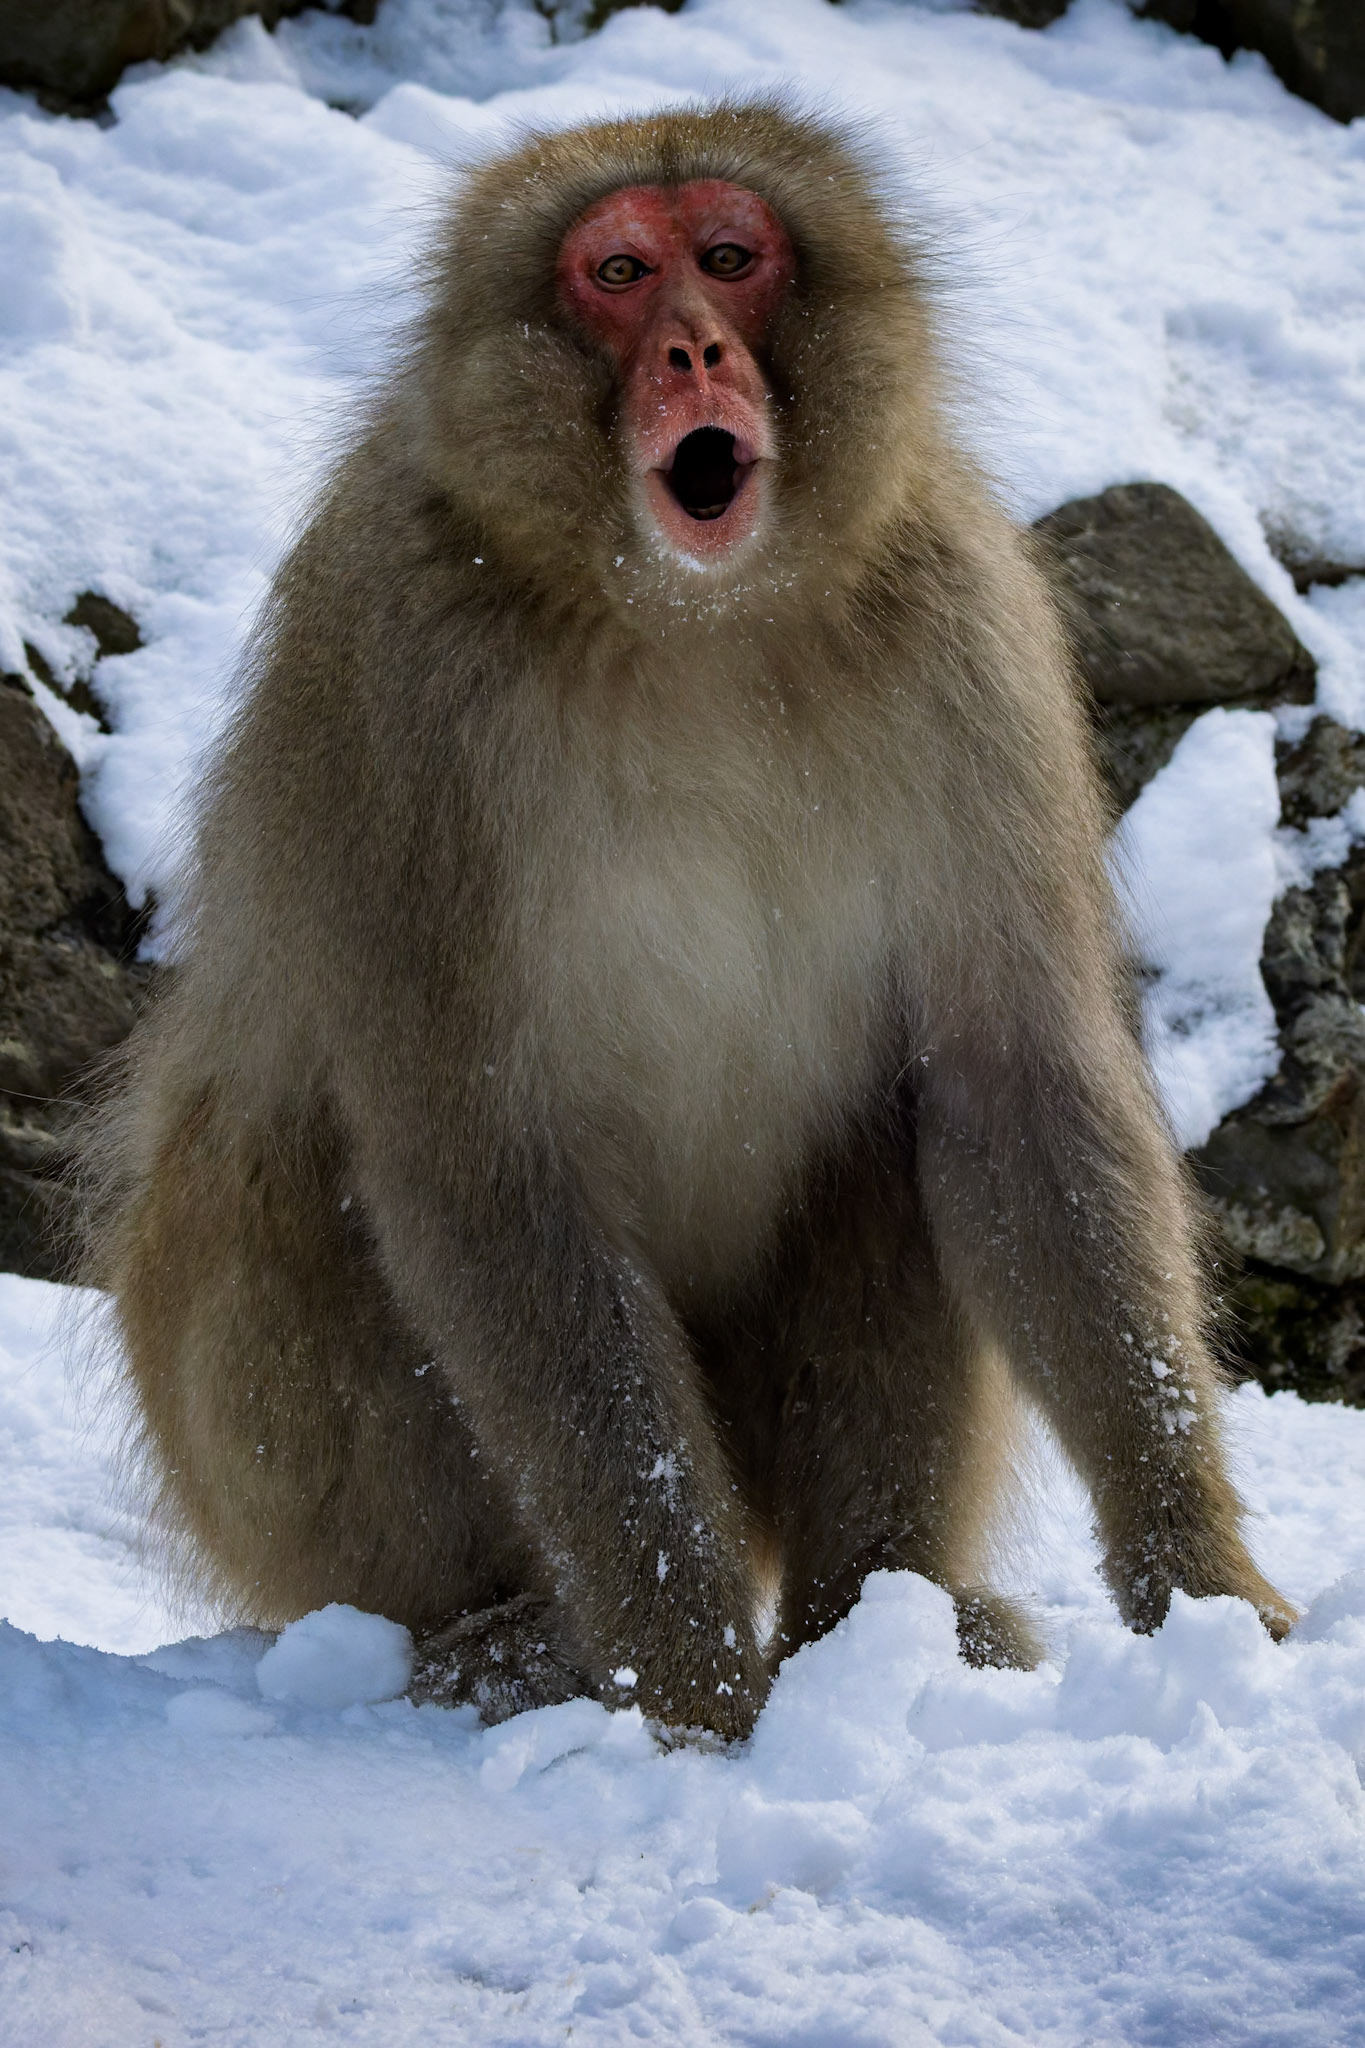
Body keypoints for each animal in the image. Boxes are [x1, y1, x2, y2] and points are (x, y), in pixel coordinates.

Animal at [78, 102, 1295, 1740]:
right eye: (617, 273)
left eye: (727, 258)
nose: (695, 353)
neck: (691, 625)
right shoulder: (395, 675)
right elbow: (482, 1158)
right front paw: (692, 1688)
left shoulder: (965, 632)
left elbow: (1017, 1087)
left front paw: (1200, 1584)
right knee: (285, 1166)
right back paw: (494, 1643)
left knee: (895, 1130)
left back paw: (888, 1620)